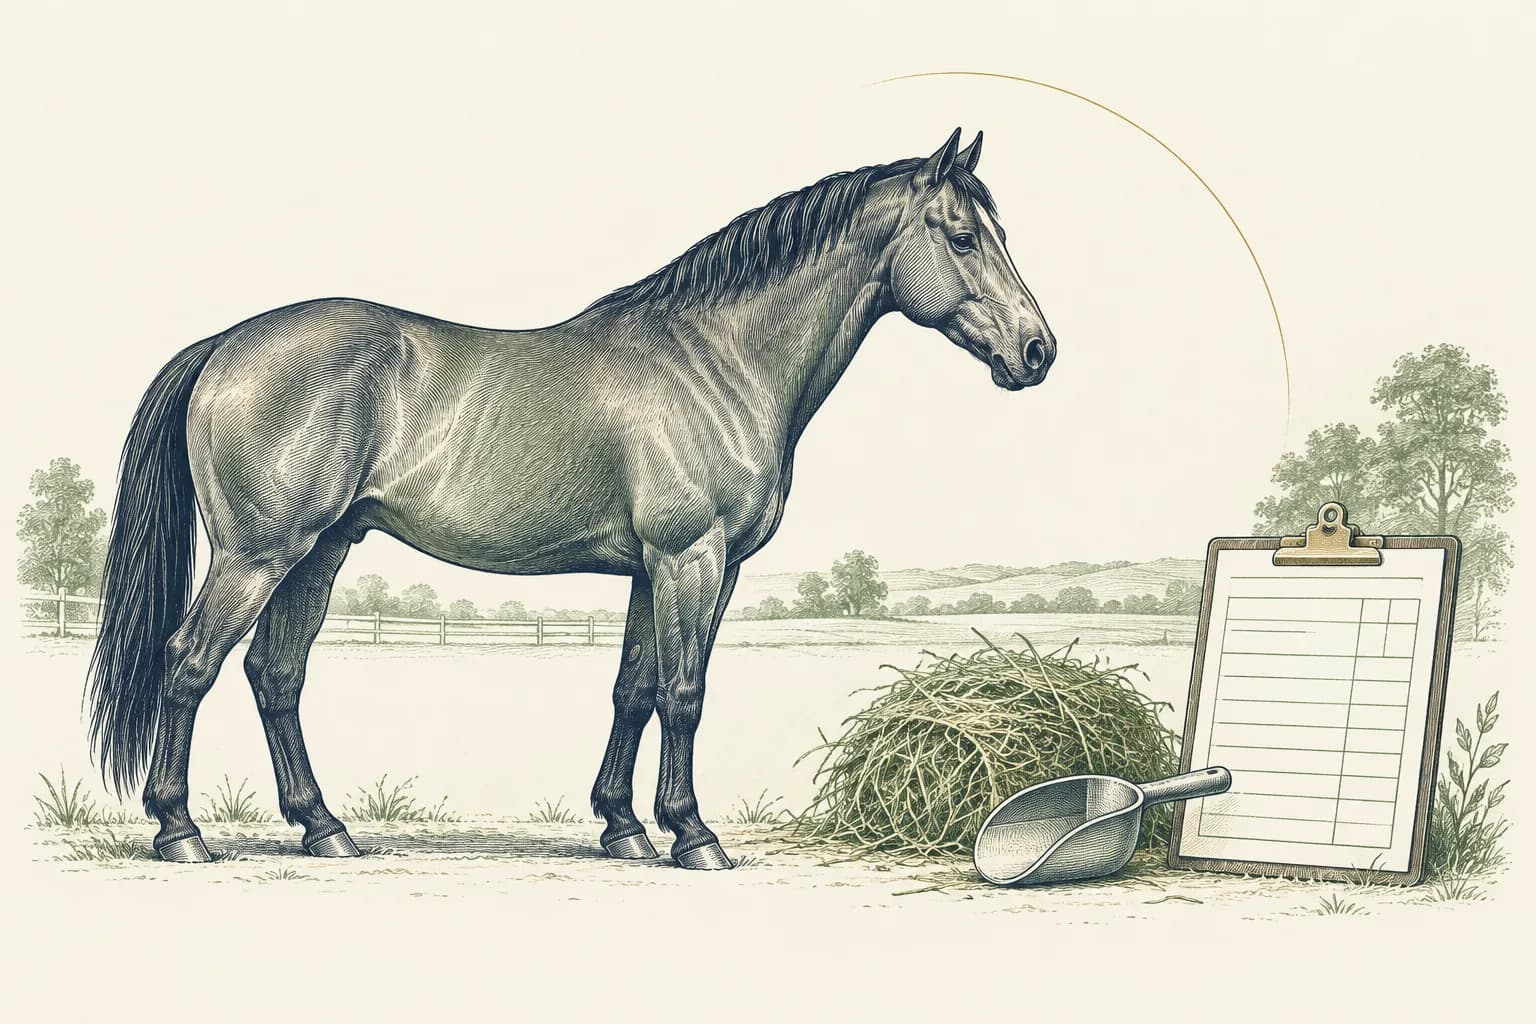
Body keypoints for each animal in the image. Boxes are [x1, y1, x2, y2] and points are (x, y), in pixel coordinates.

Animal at [86, 127, 1057, 869]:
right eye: (962, 237)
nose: (1037, 350)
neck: (717, 359)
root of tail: (226, 344)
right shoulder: (693, 559)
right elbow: (685, 692)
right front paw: (694, 837)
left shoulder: (655, 571)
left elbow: (633, 689)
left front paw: (624, 828)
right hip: (258, 554)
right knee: (191, 662)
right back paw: (181, 833)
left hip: (319, 551)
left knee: (275, 674)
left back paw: (326, 829)